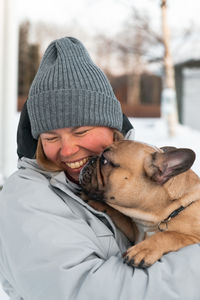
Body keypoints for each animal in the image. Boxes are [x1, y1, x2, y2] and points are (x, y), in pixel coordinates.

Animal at [79, 139, 200, 268]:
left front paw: (144, 250)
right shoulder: (136, 232)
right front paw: (98, 203)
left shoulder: (194, 238)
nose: (90, 159)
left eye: (104, 161)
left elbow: (173, 236)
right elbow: (122, 217)